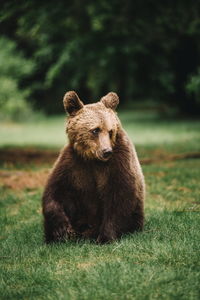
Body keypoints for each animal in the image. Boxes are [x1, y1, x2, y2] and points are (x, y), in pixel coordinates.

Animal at [42, 91, 145, 244]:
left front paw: (105, 237)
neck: (92, 158)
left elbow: (119, 196)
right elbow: (56, 191)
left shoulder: (119, 161)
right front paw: (62, 229)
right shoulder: (73, 164)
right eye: (95, 130)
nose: (106, 151)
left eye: (110, 131)